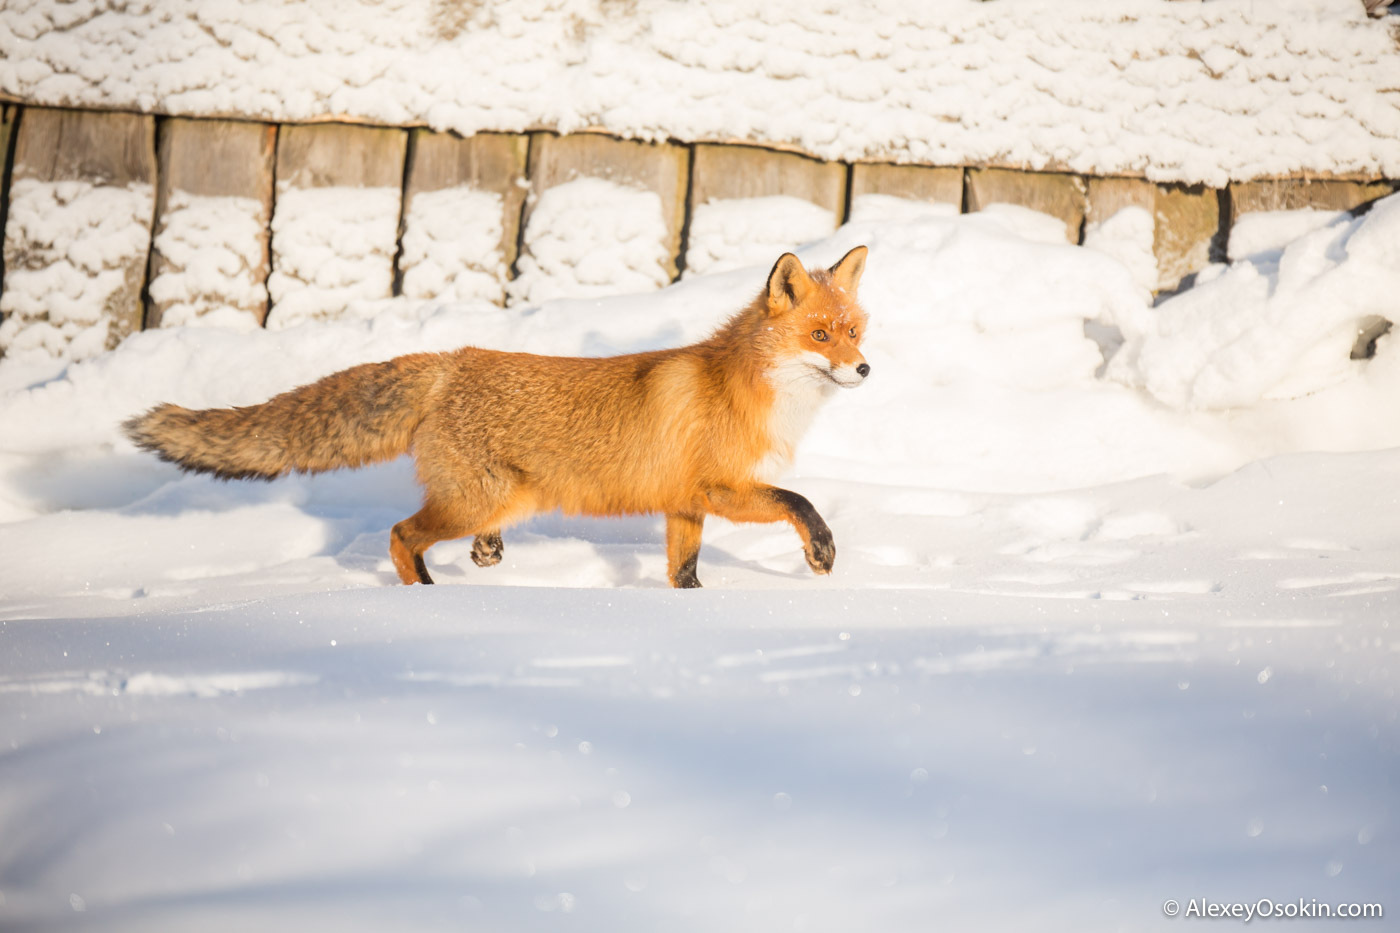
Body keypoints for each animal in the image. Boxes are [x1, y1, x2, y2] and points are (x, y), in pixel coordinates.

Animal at [126, 245, 868, 582]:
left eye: (856, 331)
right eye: (819, 336)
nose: (864, 370)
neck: (748, 390)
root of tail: (453, 360)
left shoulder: (684, 506)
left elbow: (683, 574)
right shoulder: (720, 487)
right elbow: (799, 501)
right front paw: (822, 549)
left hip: (493, 503)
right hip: (478, 499)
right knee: (399, 535)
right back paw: (428, 596)